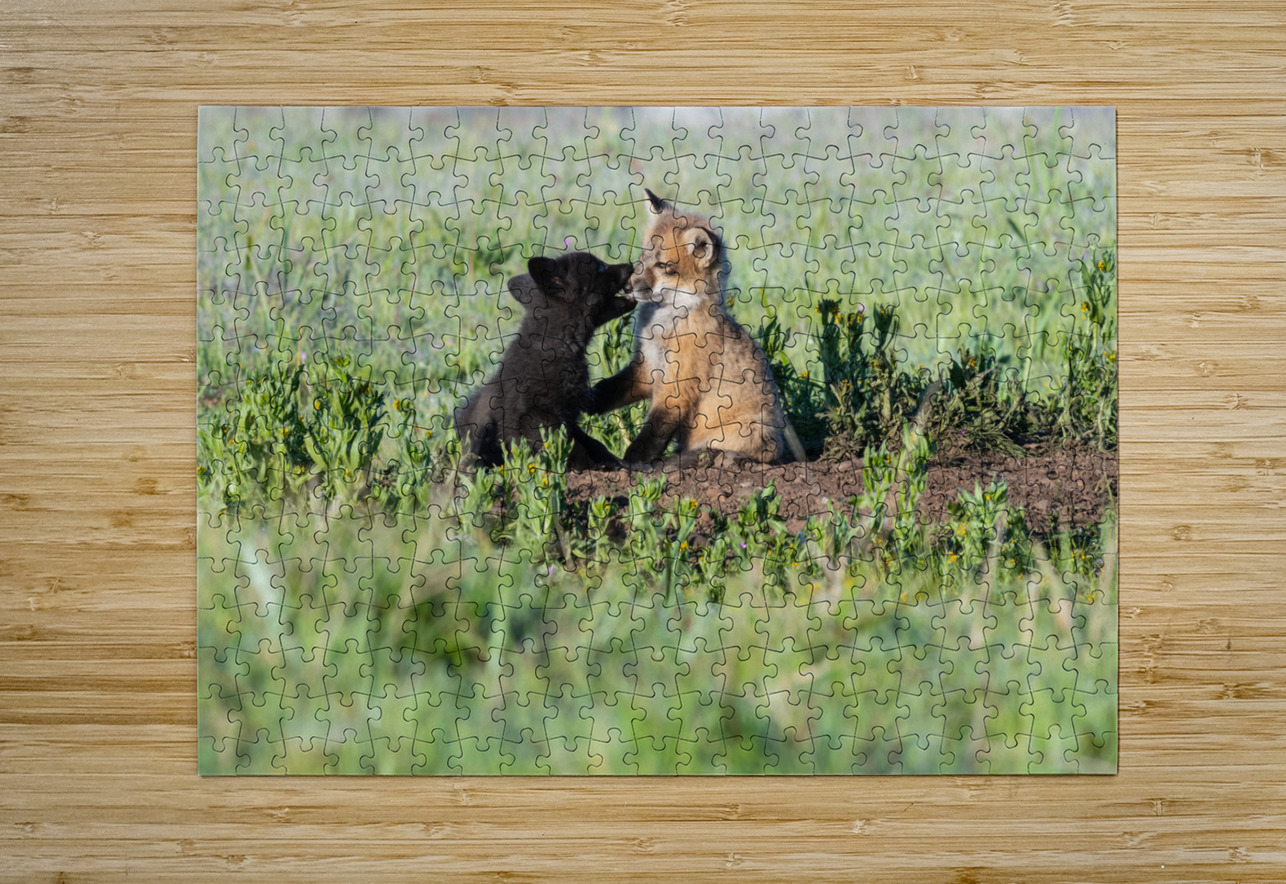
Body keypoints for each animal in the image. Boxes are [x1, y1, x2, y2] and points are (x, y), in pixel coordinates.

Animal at [454, 251, 634, 470]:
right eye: (600, 267)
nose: (631, 265)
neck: (558, 343)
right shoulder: (538, 414)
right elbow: (558, 446)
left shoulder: (568, 415)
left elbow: (591, 443)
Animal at [587, 189, 804, 468]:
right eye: (642, 259)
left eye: (663, 266)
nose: (627, 287)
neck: (665, 325)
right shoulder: (647, 367)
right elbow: (611, 388)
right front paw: (587, 399)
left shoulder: (677, 386)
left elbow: (653, 432)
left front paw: (633, 461)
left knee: (745, 455)